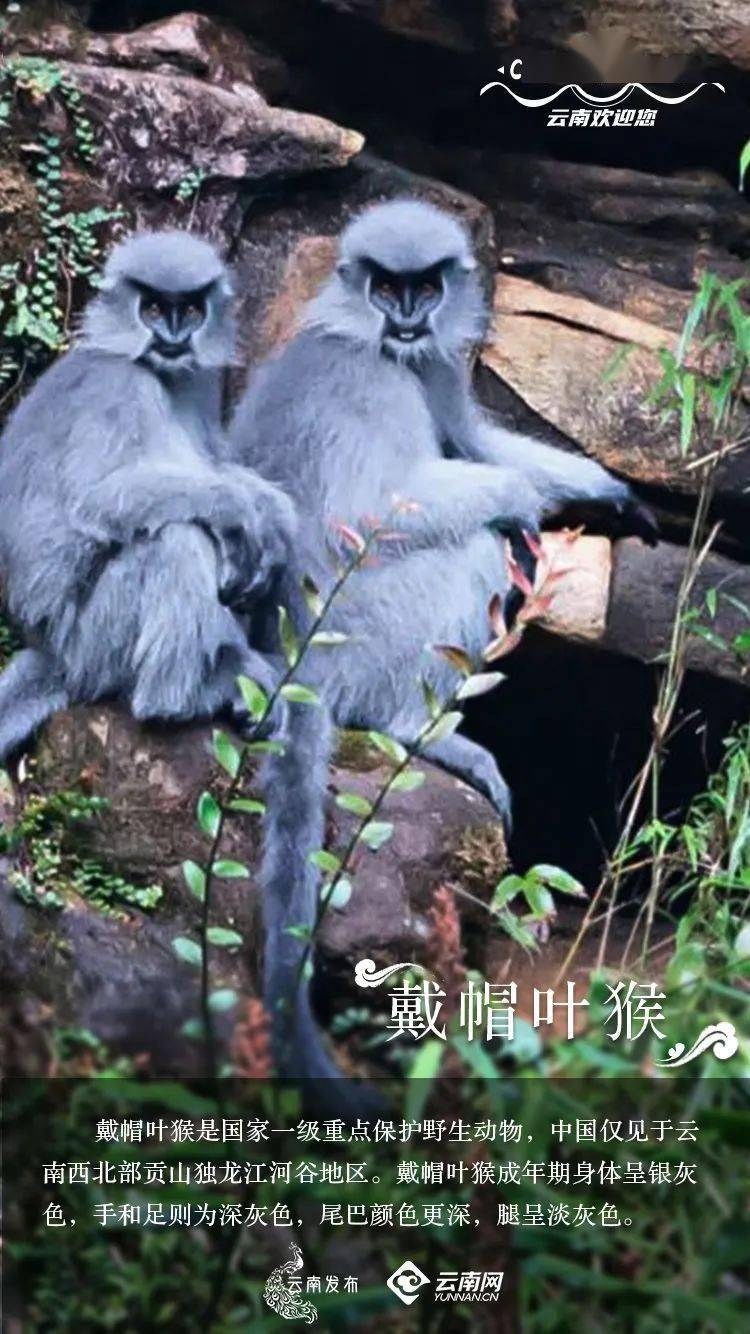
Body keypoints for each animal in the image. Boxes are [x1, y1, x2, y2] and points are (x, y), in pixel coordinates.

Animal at [0, 232, 294, 763]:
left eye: (191, 309)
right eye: (153, 307)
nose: (173, 334)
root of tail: (54, 656)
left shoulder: (198, 382)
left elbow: (220, 466)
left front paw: (272, 514)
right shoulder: (118, 384)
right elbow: (98, 497)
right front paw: (242, 511)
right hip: (95, 645)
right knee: (177, 538)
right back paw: (183, 697)